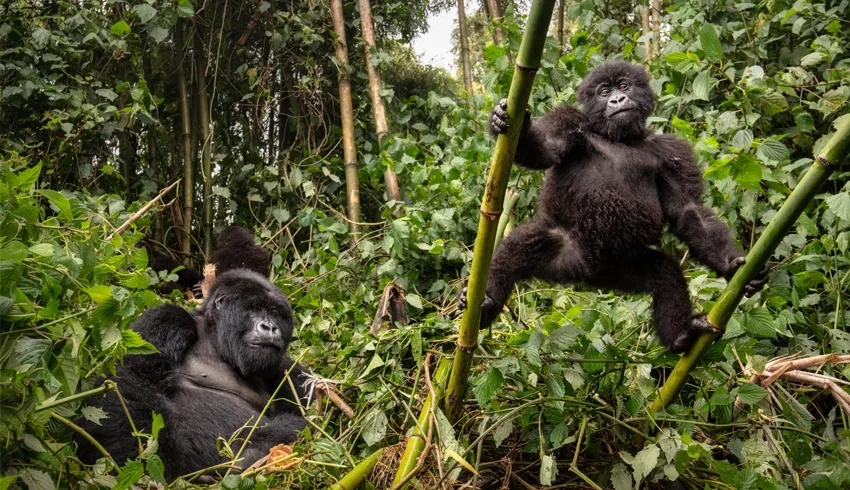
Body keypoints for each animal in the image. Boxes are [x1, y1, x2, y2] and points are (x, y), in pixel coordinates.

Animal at [460, 61, 764, 352]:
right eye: (604, 92)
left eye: (624, 85)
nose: (618, 99)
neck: (620, 137)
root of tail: (583, 274)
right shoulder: (570, 122)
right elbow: (543, 148)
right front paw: (510, 125)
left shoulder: (671, 150)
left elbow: (687, 211)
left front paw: (730, 265)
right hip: (567, 248)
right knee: (517, 249)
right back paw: (485, 304)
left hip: (621, 269)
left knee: (664, 274)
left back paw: (679, 336)